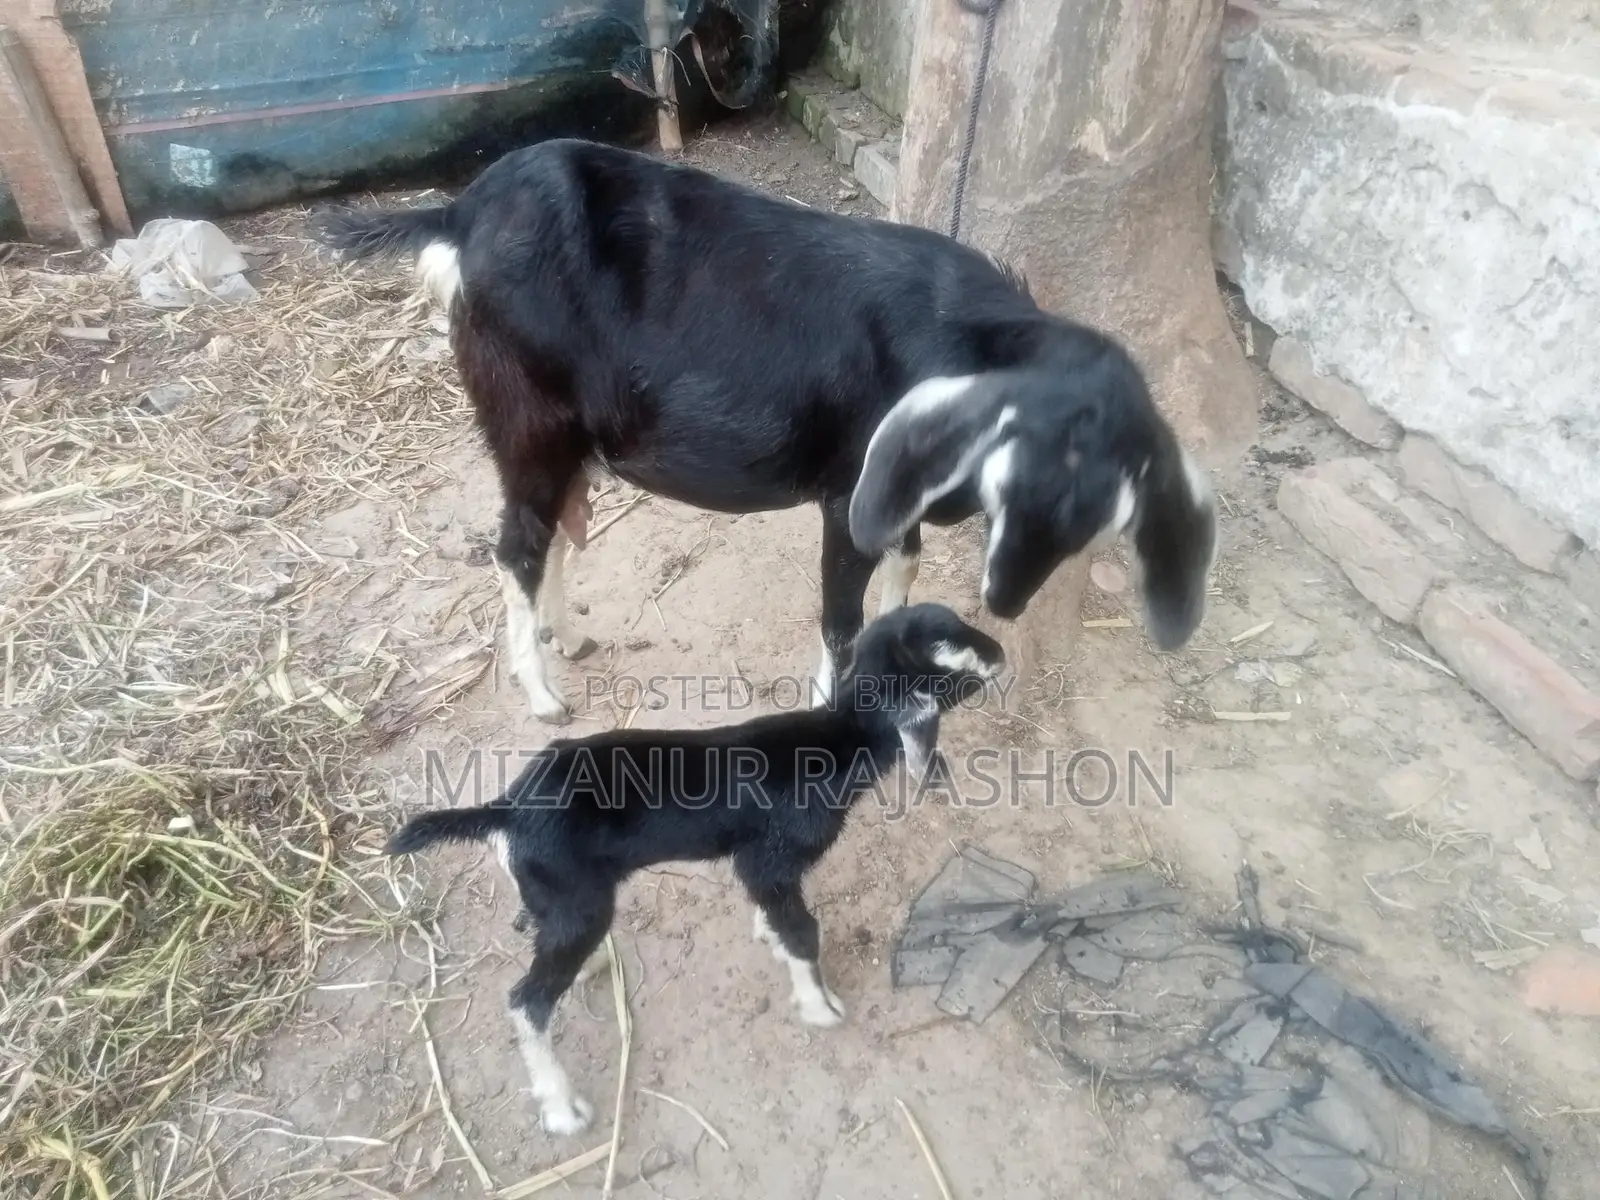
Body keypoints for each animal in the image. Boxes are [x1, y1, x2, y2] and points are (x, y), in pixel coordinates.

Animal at [318, 138, 1215, 726]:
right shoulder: (849, 496)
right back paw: (544, 699)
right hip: (526, 419)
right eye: (1022, 472)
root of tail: (462, 211)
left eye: (1105, 511)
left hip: (571, 439)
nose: (1005, 600)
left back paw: (568, 639)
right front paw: (833, 705)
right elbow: (841, 615)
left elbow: (906, 568)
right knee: (518, 545)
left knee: (557, 532)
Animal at [385, 602, 1005, 1134]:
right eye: (950, 653)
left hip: (558, 896)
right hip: (578, 903)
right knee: (527, 1001)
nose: (1000, 653)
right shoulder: (768, 858)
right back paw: (562, 1109)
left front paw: (771, 939)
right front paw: (819, 1006)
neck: (837, 742)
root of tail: (506, 808)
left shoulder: (763, 870)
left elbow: (780, 918)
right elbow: (803, 930)